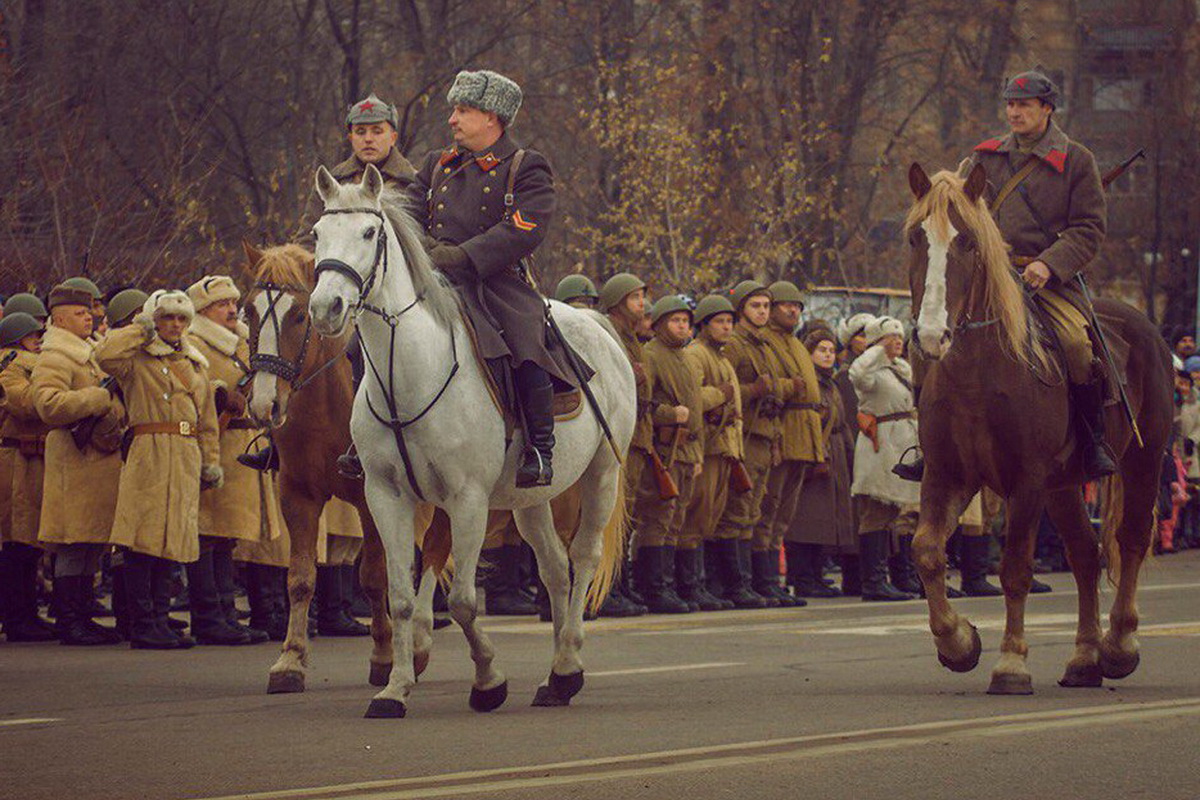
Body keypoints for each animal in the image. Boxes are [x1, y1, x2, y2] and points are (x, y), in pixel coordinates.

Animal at [238, 244, 451, 695]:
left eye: (298, 315)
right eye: (247, 310)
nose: (264, 404)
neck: (323, 404)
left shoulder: (372, 499)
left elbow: (373, 576)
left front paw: (385, 656)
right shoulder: (296, 495)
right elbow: (301, 577)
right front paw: (290, 660)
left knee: (435, 551)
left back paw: (419, 642)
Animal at [307, 163, 638, 719]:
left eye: (370, 232)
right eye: (316, 233)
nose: (325, 307)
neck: (409, 370)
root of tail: (593, 321)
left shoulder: (466, 500)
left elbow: (462, 600)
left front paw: (488, 681)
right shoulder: (385, 496)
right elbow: (400, 597)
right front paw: (394, 689)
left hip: (602, 475)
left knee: (584, 558)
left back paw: (568, 667)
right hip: (530, 497)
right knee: (554, 569)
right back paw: (554, 679)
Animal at [902, 163, 1166, 695]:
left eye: (966, 242)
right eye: (917, 237)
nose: (931, 336)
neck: (976, 376)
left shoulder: (1024, 482)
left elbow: (1016, 569)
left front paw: (1010, 663)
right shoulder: (946, 475)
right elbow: (927, 552)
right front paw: (958, 643)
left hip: (1143, 460)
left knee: (1130, 539)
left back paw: (1119, 646)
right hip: (1063, 485)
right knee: (1084, 554)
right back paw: (1083, 659)